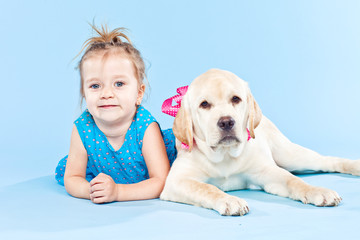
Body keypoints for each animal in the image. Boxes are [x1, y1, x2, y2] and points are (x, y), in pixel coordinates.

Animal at [160, 69, 360, 216]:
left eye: (235, 99)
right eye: (204, 104)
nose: (226, 122)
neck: (225, 155)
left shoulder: (267, 172)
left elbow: (293, 181)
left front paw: (316, 191)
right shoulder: (177, 181)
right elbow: (206, 188)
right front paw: (229, 200)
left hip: (290, 156)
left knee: (326, 161)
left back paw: (354, 166)